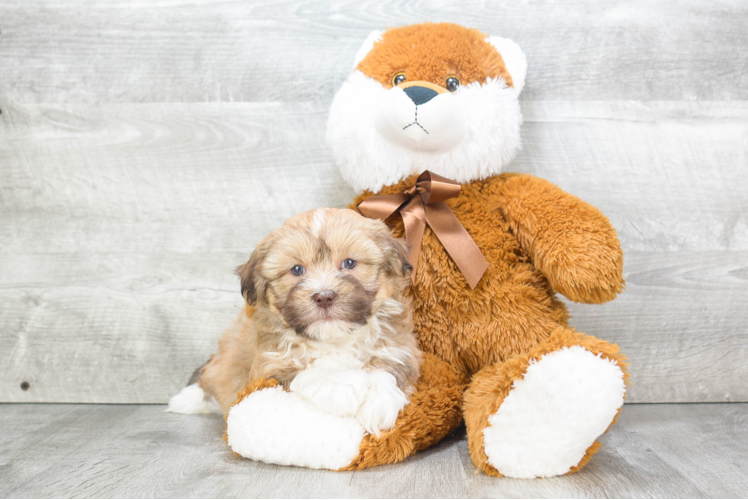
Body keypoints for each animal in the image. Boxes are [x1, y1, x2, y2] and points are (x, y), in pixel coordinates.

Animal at [172, 207, 424, 434]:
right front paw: (343, 386)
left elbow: (387, 366)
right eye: (296, 270)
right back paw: (187, 398)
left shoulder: (400, 348)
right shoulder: (265, 367)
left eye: (350, 263)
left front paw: (378, 400)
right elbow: (302, 370)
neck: (333, 338)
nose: (324, 296)